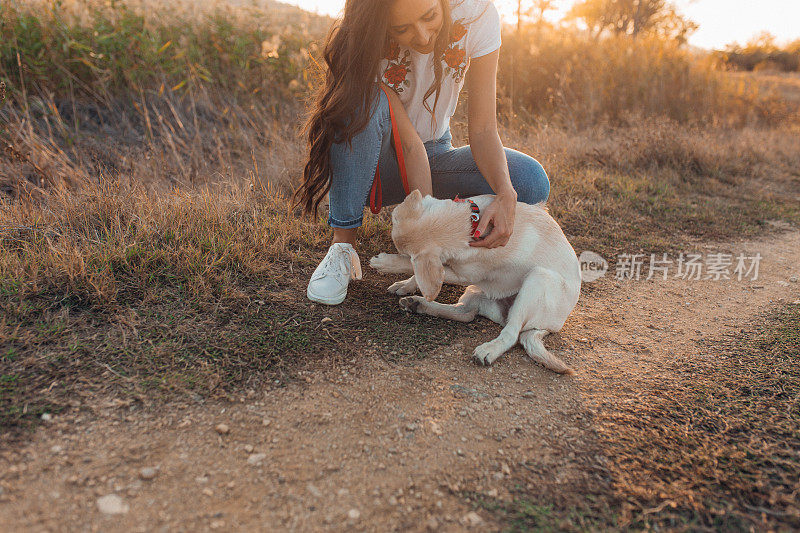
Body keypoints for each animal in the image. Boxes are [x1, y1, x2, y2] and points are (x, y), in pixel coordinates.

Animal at [368, 191, 580, 374]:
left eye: (404, 254)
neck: (468, 224)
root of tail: (548, 327)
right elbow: (422, 275)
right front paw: (405, 285)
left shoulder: (463, 275)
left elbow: (414, 268)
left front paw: (385, 263)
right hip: (476, 292)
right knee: (466, 313)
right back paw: (418, 304)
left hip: (538, 279)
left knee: (512, 333)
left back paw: (489, 350)